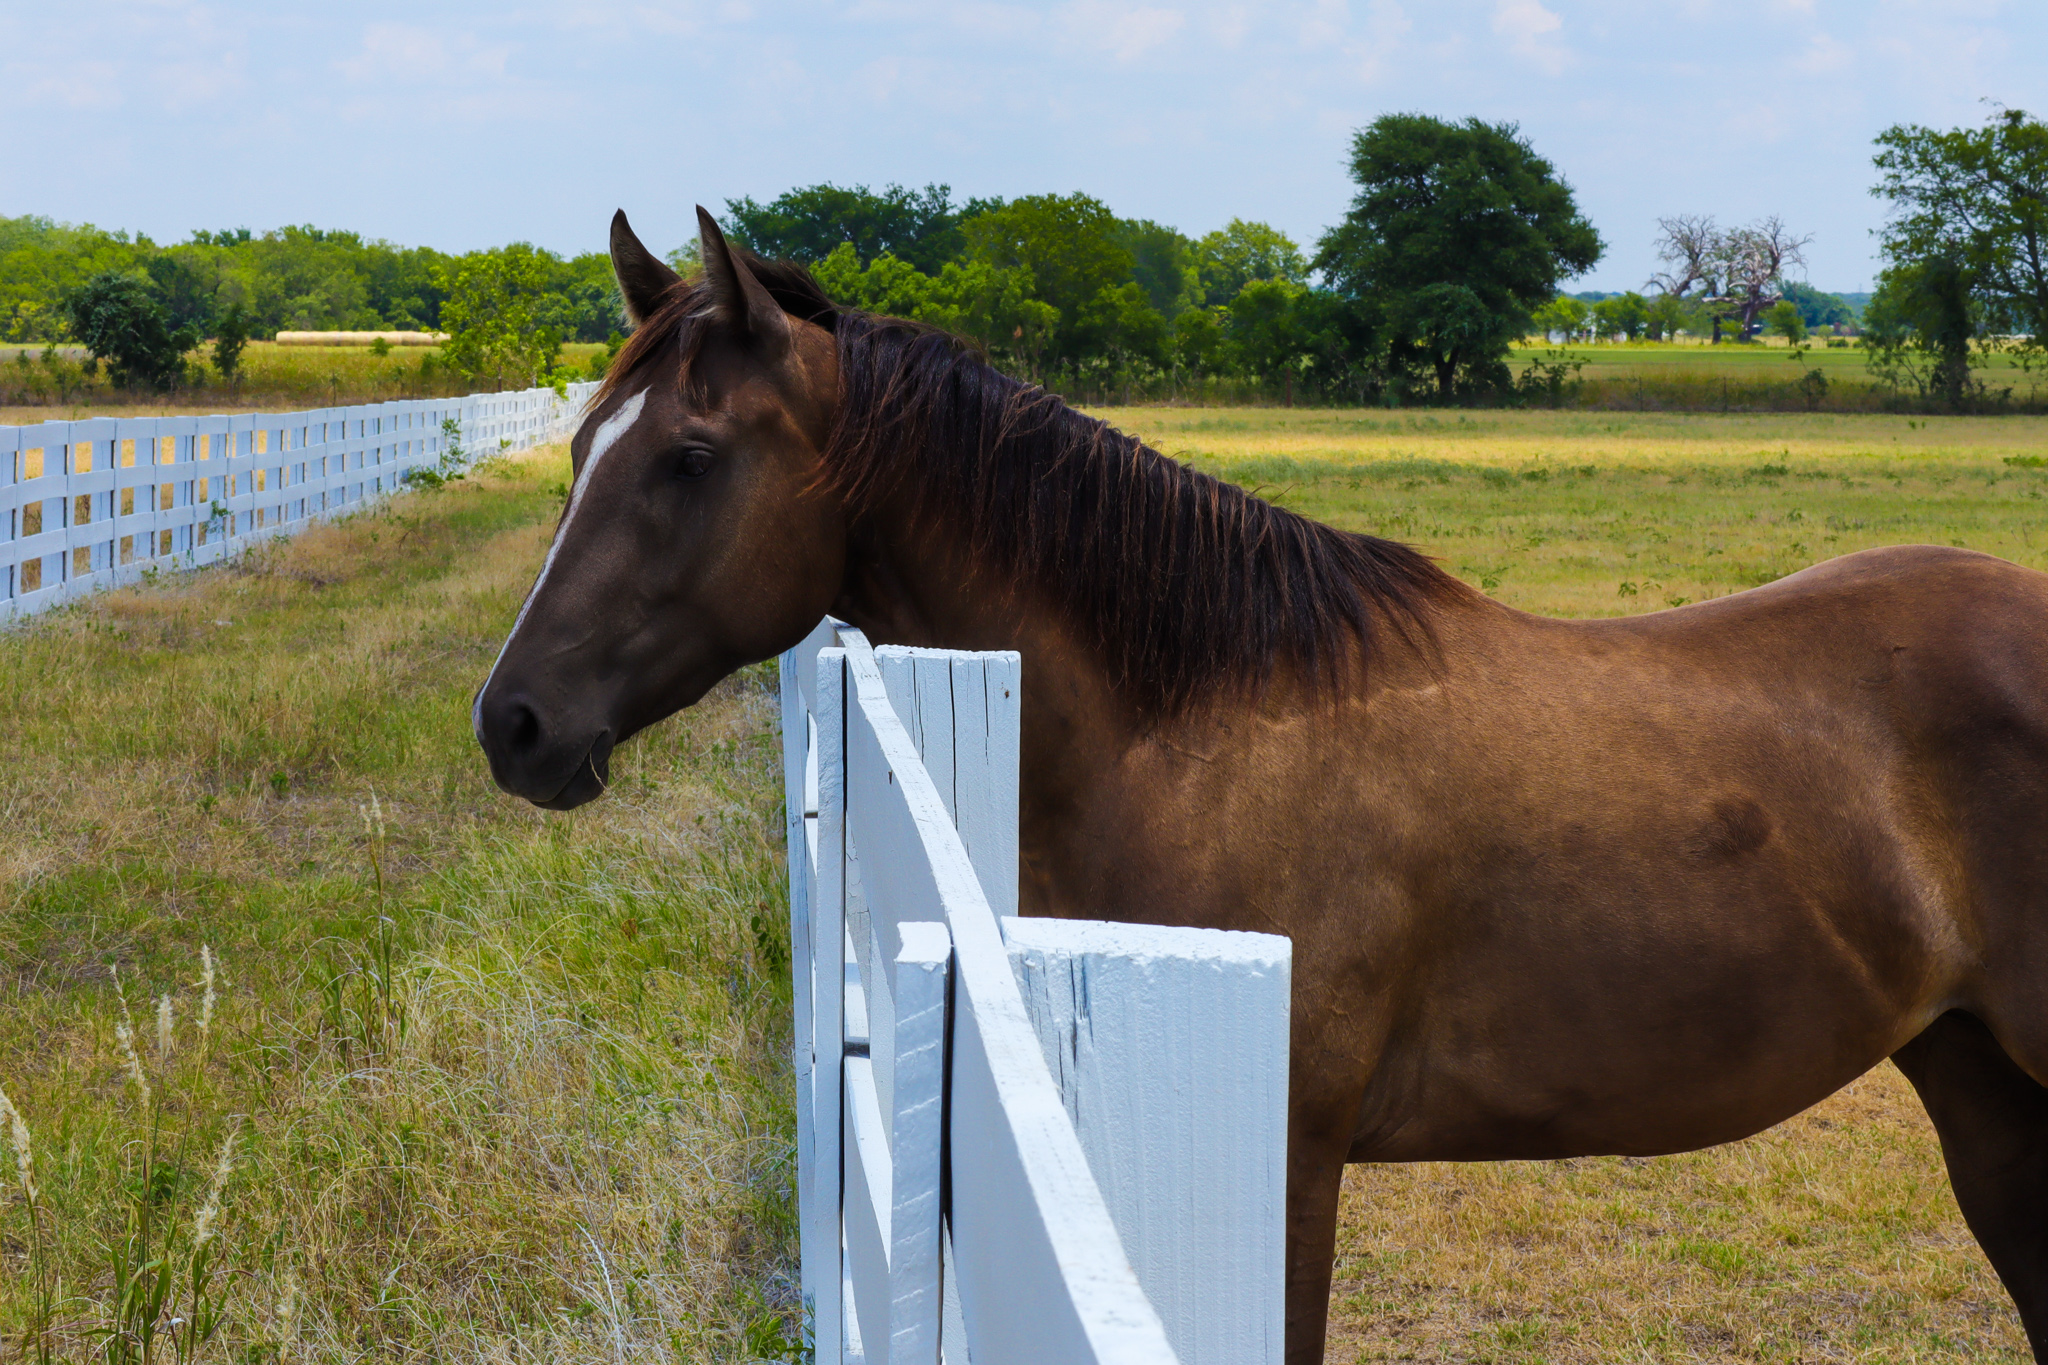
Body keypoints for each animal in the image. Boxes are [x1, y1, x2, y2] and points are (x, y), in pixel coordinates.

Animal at [471, 208, 2048, 1358]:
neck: (1198, 723)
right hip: (1977, 1083)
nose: (514, 722)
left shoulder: (1281, 1168)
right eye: (580, 445)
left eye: (688, 456)